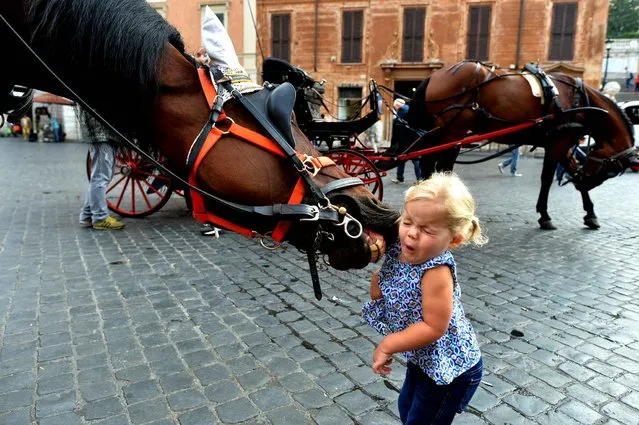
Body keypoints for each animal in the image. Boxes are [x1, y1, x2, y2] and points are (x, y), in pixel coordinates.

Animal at [408, 60, 636, 229]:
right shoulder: (559, 142)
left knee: (428, 164)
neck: (580, 100)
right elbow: (546, 179)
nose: (585, 182)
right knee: (441, 168)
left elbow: (569, 171)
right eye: (611, 171)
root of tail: (434, 76)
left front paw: (590, 213)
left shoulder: (561, 142)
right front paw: (545, 216)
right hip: (453, 132)